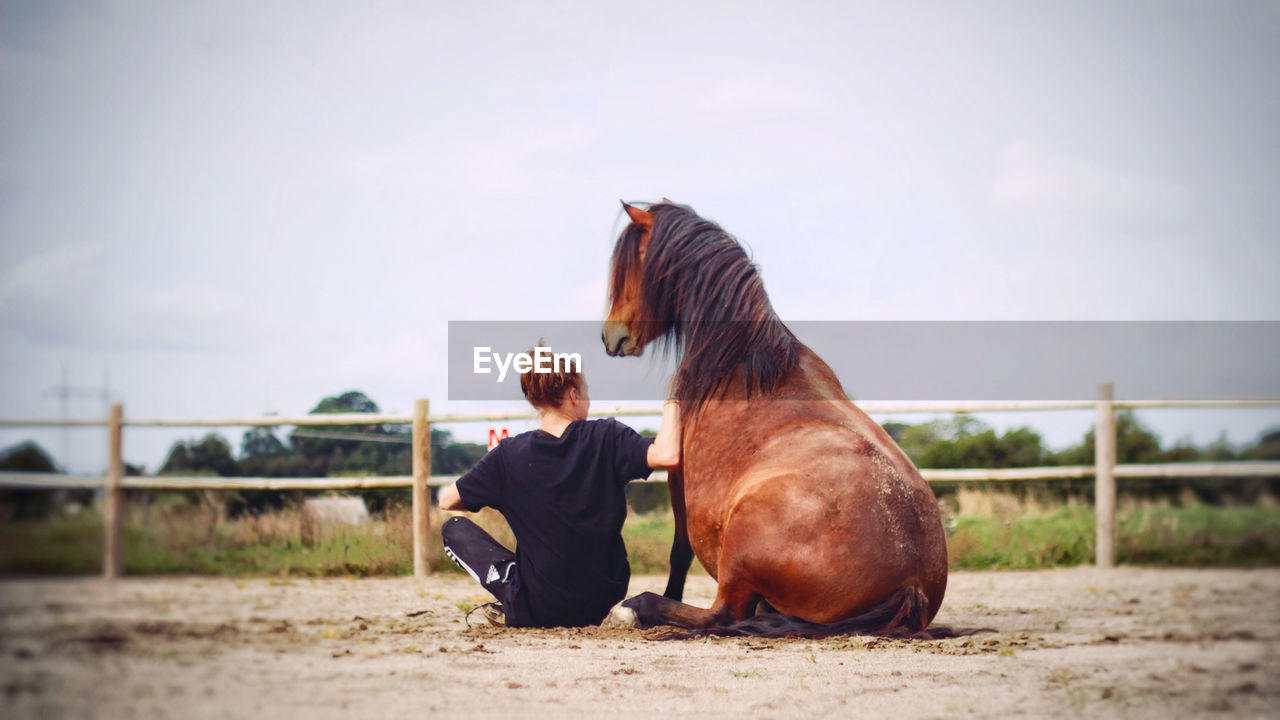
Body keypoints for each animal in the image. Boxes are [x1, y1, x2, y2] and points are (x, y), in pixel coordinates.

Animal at [601, 197, 952, 632]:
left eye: (631, 267)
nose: (611, 336)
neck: (740, 362)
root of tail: (913, 583)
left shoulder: (676, 472)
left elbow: (679, 552)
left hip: (738, 556)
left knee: (722, 614)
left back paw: (634, 607)